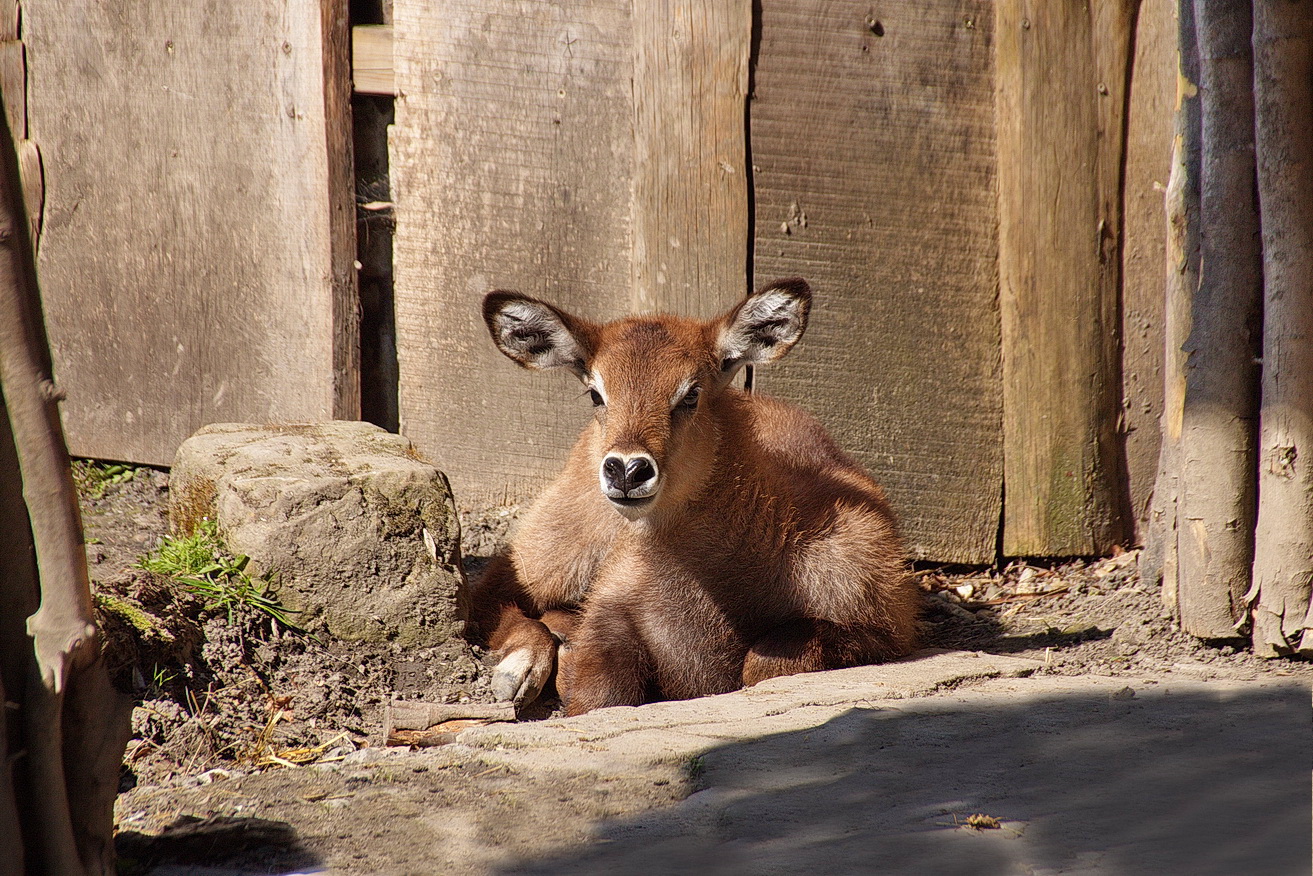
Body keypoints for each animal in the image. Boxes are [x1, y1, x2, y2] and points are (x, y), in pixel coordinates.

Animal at [467, 277, 919, 714]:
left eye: (691, 393)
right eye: (596, 393)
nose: (626, 470)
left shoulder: (884, 629)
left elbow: (764, 662)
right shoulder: (610, 614)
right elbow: (600, 695)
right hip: (556, 551)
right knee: (494, 592)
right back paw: (520, 670)